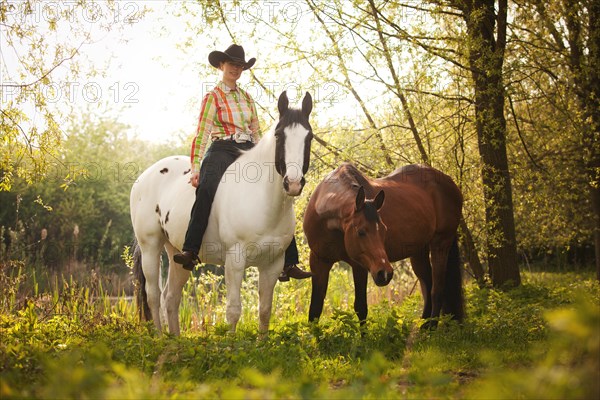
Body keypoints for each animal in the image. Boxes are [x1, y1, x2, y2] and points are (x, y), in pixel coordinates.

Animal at [131, 91, 314, 334]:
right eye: (278, 136)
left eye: (309, 137)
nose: (293, 183)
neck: (261, 199)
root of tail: (144, 176)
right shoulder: (235, 261)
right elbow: (233, 311)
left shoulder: (272, 265)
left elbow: (265, 311)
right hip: (150, 246)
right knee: (153, 296)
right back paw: (160, 337)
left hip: (176, 253)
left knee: (170, 298)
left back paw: (175, 339)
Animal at [304, 162, 464, 328]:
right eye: (361, 232)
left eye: (384, 230)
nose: (385, 273)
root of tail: (451, 183)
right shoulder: (319, 261)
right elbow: (315, 309)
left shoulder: (359, 265)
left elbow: (361, 307)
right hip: (419, 251)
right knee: (428, 285)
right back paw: (424, 328)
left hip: (441, 243)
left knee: (437, 290)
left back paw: (432, 328)